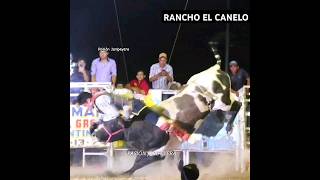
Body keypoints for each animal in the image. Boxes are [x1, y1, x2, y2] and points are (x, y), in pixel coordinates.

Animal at [77, 62, 240, 175]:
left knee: (238, 104)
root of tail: (215, 68)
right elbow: (138, 161)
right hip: (222, 101)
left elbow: (138, 164)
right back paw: (221, 119)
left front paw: (122, 174)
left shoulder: (158, 152)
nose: (94, 133)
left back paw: (229, 127)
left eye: (111, 125)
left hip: (223, 101)